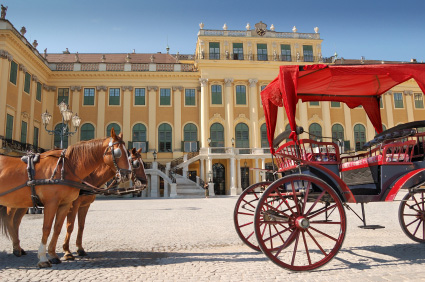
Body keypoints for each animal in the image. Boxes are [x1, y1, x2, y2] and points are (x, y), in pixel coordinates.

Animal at [0, 128, 131, 266]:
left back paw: (18, 248)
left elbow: (61, 227)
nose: (128, 174)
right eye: (118, 152)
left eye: (128, 153)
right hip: (13, 203)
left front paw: (54, 254)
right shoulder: (55, 203)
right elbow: (51, 227)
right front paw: (46, 257)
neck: (66, 168)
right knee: (10, 221)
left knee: (15, 222)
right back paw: (17, 248)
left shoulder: (69, 204)